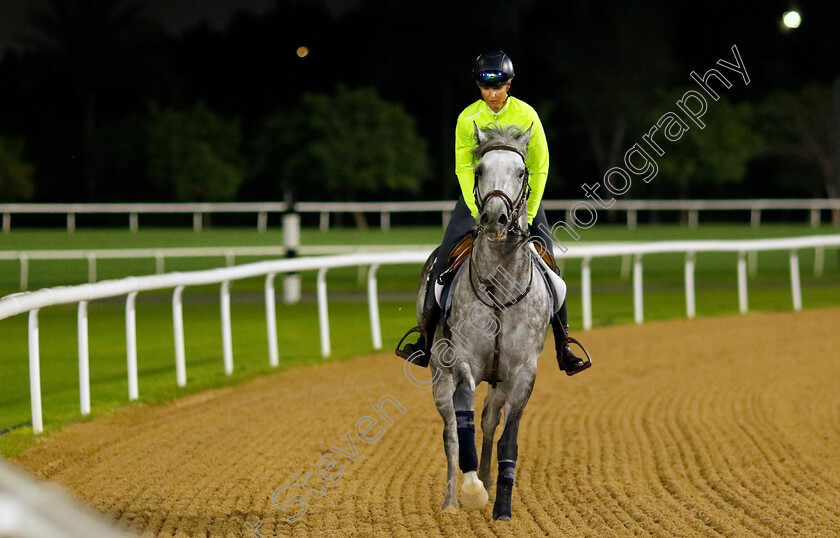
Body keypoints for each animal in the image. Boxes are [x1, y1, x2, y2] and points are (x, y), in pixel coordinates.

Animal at [412, 122, 560, 520]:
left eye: (522, 171)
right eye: (479, 170)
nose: (495, 218)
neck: (500, 286)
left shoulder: (523, 372)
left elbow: (509, 435)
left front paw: (502, 507)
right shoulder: (465, 360)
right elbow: (463, 417)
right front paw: (472, 489)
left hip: (499, 381)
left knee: (491, 420)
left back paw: (491, 483)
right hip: (440, 373)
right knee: (451, 429)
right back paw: (453, 500)